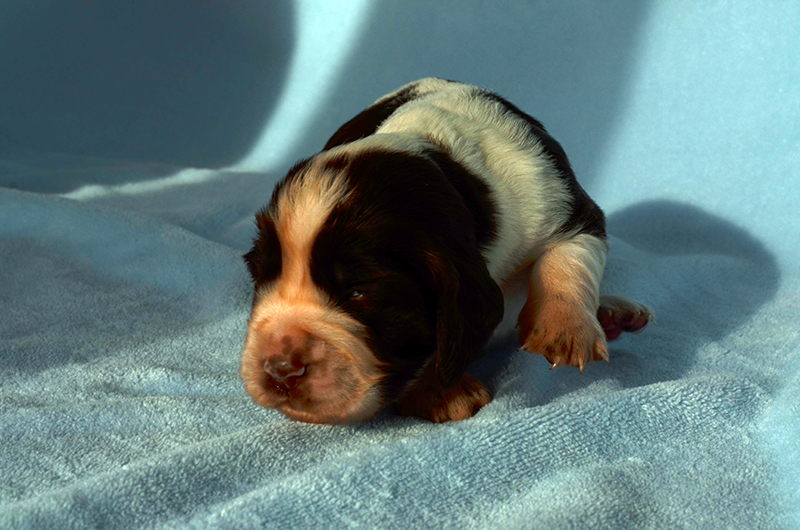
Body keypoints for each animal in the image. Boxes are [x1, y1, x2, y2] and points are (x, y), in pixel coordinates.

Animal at [241, 78, 652, 422]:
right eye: (263, 281)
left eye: (358, 293)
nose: (280, 369)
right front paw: (442, 393)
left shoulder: (567, 206)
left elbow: (567, 258)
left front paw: (565, 328)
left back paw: (613, 312)